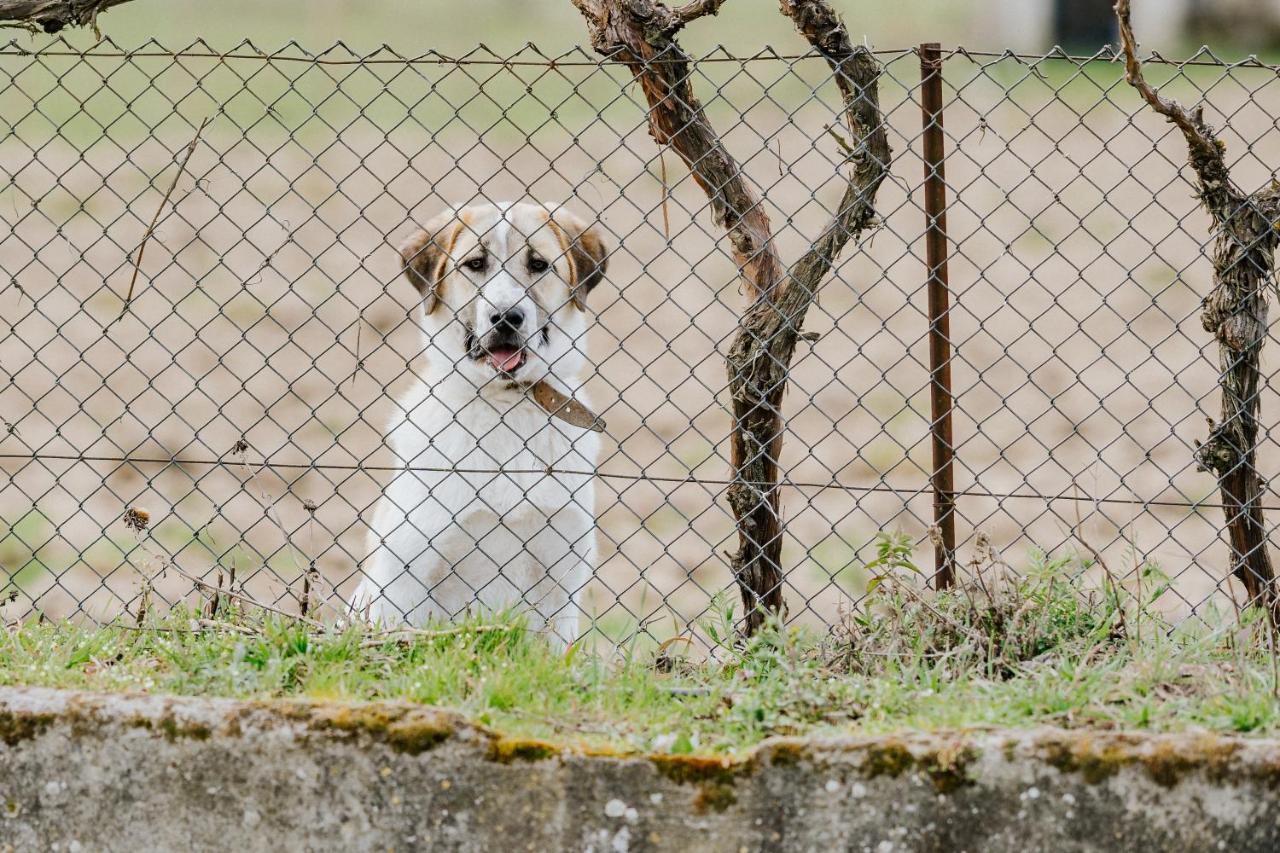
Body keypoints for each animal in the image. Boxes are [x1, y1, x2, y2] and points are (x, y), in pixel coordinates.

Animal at [353, 202, 606, 648]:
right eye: (475, 264)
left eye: (538, 264)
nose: (506, 317)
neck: (504, 406)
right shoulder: (404, 576)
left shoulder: (559, 584)